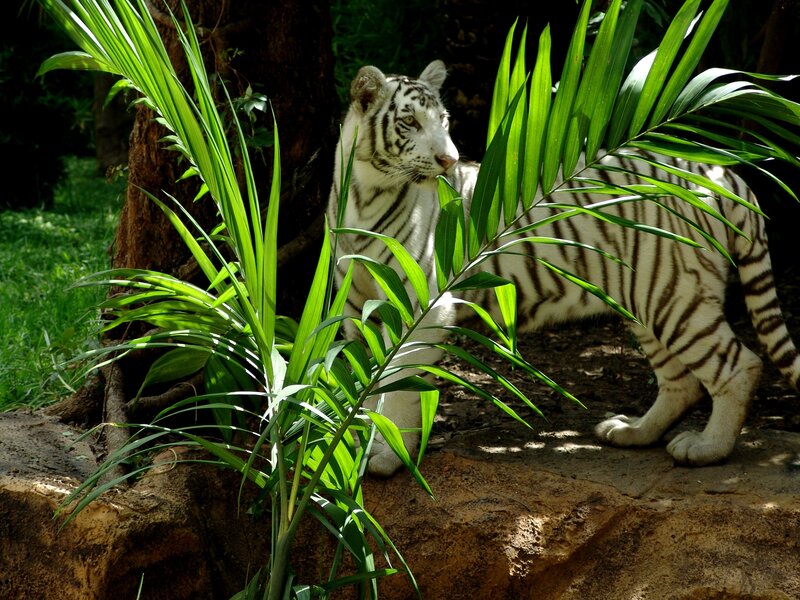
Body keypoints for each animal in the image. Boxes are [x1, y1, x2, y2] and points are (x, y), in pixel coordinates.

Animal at [327, 59, 800, 476]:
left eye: (443, 120)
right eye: (409, 122)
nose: (449, 160)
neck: (364, 192)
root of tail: (720, 171)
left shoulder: (422, 305)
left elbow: (400, 385)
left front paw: (386, 458)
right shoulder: (358, 308)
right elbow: (367, 382)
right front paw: (355, 445)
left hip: (674, 296)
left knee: (739, 366)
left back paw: (706, 449)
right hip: (651, 296)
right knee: (680, 382)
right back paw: (633, 431)